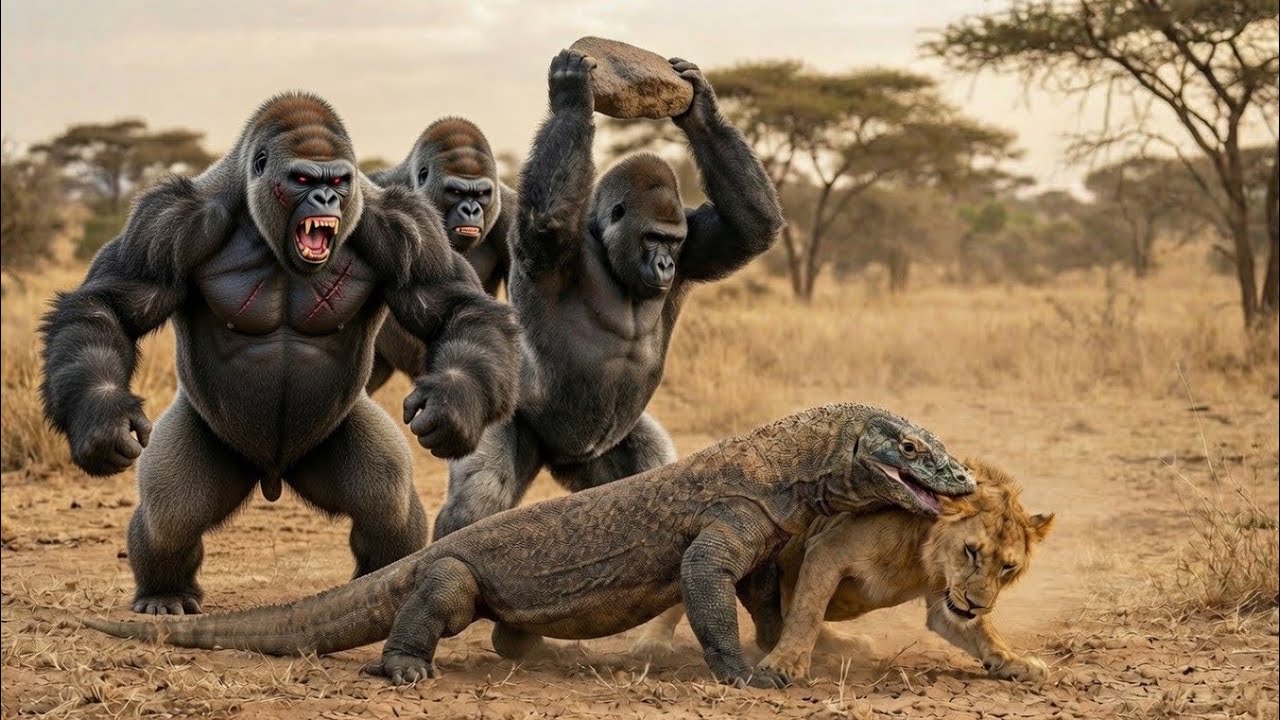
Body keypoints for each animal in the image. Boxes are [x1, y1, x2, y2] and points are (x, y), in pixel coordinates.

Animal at [432, 50, 786, 542]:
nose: (665, 265)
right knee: (477, 499)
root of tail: (564, 458)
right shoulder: (557, 247)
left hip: (603, 455)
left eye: (672, 242)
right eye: (652, 239)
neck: (607, 247)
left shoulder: (699, 241)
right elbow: (547, 222)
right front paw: (571, 96)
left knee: (649, 477)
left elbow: (752, 229)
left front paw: (700, 107)